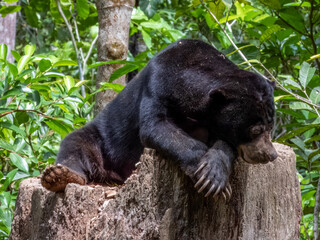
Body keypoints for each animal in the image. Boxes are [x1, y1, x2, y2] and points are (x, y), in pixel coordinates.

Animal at [42, 38, 278, 198]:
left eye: (271, 126)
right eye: (256, 130)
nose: (271, 154)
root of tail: (118, 176)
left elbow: (224, 144)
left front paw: (214, 176)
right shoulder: (157, 85)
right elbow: (156, 126)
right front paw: (206, 177)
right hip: (102, 141)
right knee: (76, 142)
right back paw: (59, 176)